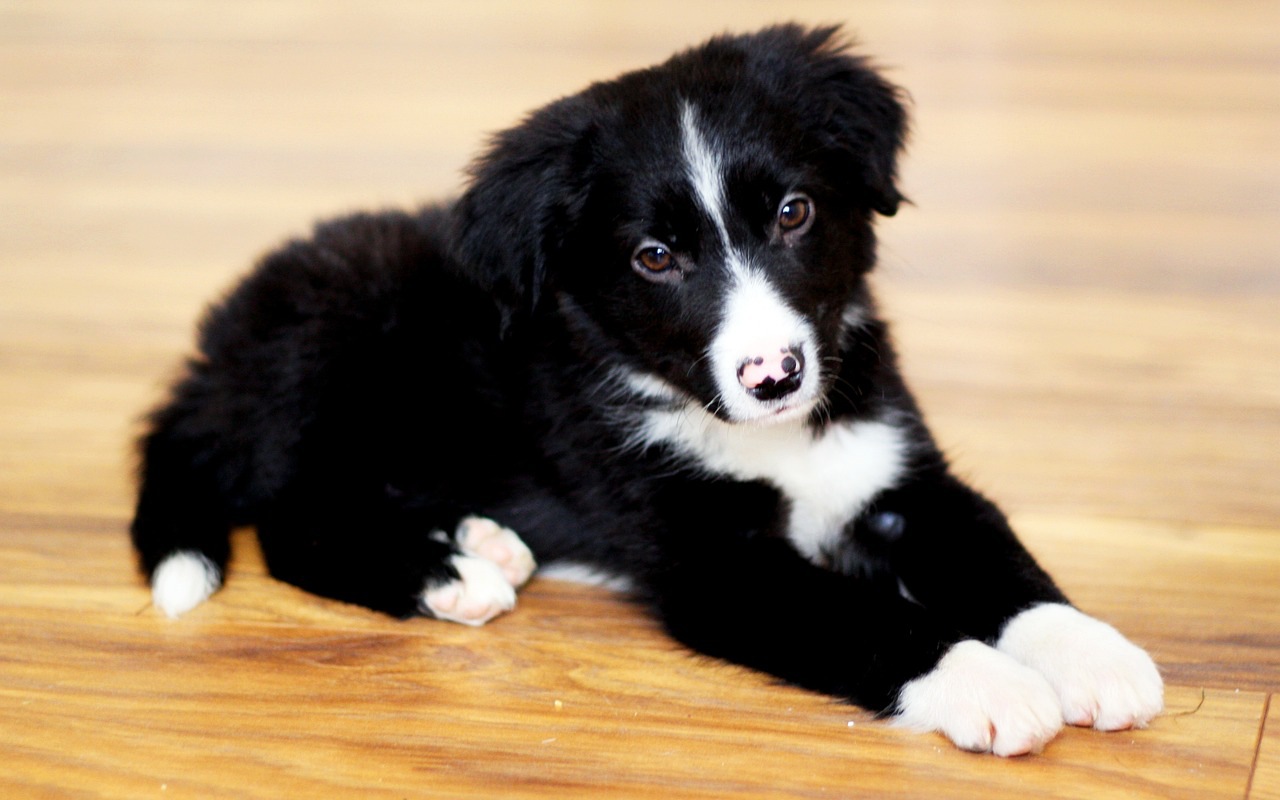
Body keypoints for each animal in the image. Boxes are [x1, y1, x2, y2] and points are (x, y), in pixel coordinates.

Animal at [135, 24, 1167, 752]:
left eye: (794, 212)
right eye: (656, 258)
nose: (776, 376)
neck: (767, 437)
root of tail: (215, 352)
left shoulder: (897, 478)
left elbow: (1001, 561)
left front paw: (1090, 654)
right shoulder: (712, 563)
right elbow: (866, 615)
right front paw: (992, 686)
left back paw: (479, 540)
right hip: (333, 355)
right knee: (294, 530)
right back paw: (452, 576)